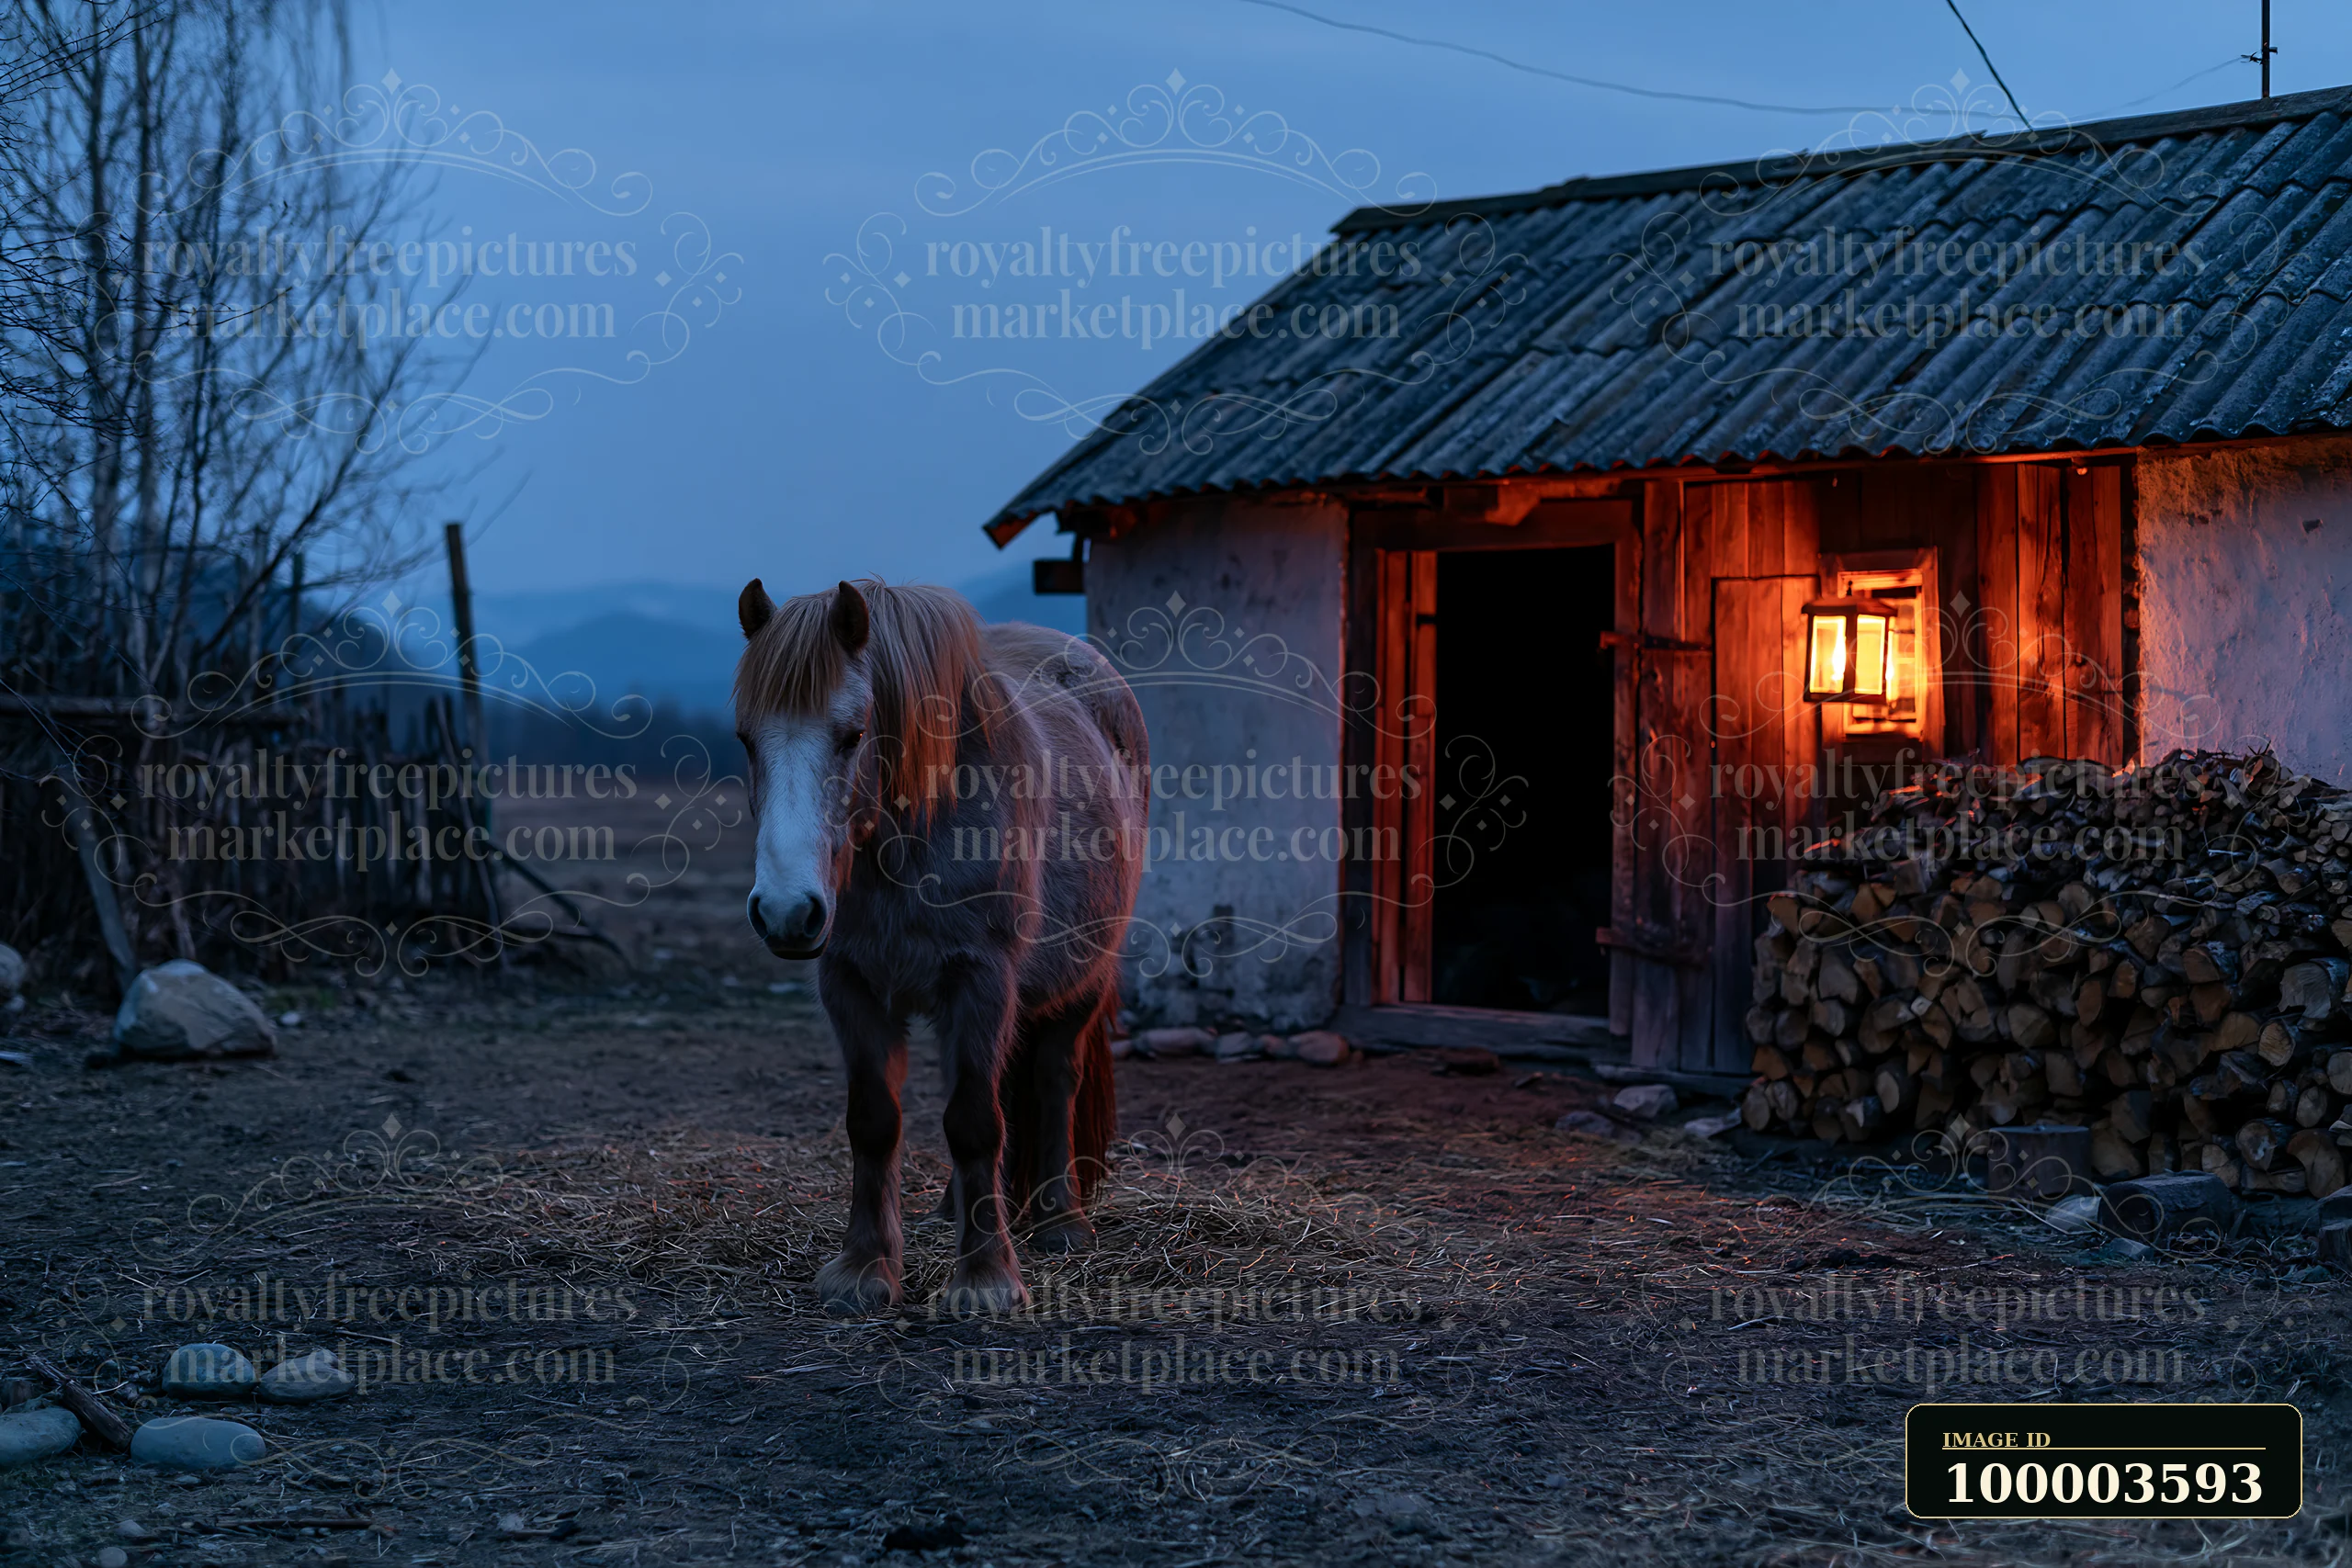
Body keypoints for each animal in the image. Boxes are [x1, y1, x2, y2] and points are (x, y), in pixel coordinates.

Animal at [732, 577, 1148, 1314]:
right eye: (747, 739)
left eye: (853, 734)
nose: (785, 911)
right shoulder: (851, 983)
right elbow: (875, 1121)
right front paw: (865, 1269)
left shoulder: (980, 980)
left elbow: (975, 1122)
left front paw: (984, 1278)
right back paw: (958, 1210)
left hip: (1083, 981)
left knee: (1054, 1079)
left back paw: (1060, 1220)